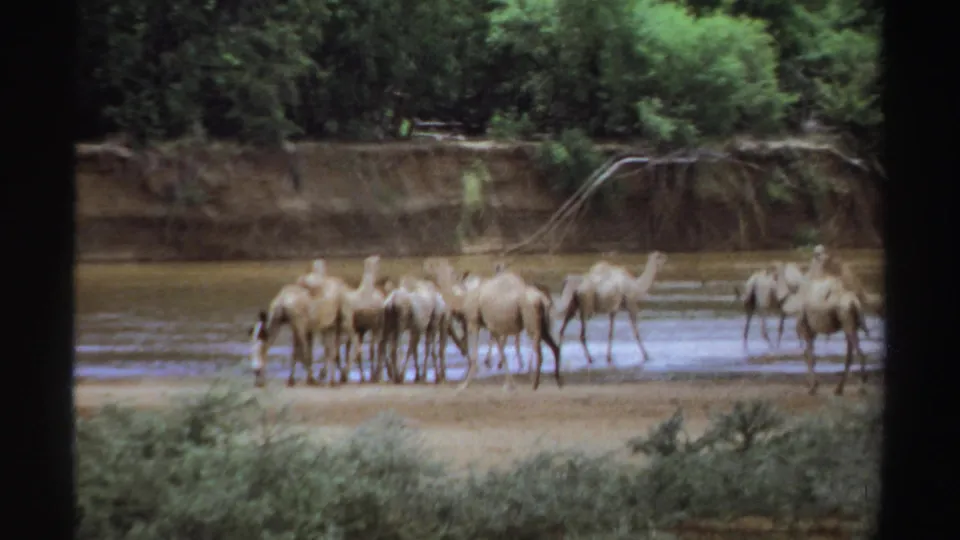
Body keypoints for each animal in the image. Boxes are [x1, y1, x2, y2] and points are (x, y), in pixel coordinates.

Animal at [427, 259, 561, 391]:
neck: (464, 300)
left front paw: (464, 385)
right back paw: (558, 381)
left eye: (435, 264)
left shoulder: (473, 322)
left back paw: (534, 382)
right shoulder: (493, 327)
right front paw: (509, 384)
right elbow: (502, 352)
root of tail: (542, 299)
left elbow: (475, 355)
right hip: (543, 325)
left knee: (537, 348)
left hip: (531, 320)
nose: (427, 265)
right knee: (554, 347)